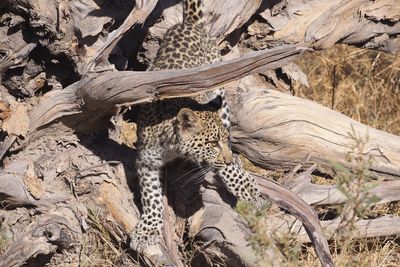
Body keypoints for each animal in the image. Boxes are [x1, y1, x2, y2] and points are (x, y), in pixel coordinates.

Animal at [129, 0, 266, 254]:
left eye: (218, 141)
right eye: (211, 143)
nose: (227, 159)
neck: (172, 145)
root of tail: (189, 24)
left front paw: (246, 187)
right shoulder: (146, 160)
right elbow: (151, 197)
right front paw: (148, 231)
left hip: (219, 84)